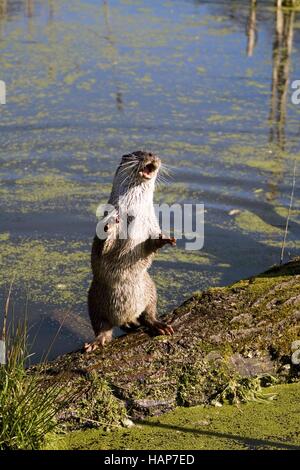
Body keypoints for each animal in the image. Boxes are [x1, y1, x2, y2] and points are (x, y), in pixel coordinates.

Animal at [83, 151, 175, 352]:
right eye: (139, 153)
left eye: (152, 152)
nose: (152, 156)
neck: (135, 214)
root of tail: (126, 317)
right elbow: (104, 245)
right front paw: (110, 225)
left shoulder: (151, 224)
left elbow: (151, 244)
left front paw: (166, 238)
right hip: (94, 299)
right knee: (102, 326)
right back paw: (96, 342)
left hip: (150, 289)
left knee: (149, 313)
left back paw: (159, 325)